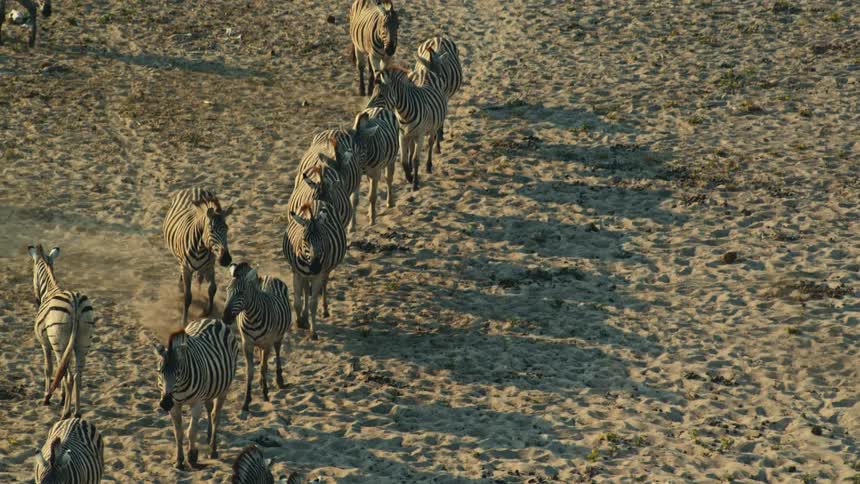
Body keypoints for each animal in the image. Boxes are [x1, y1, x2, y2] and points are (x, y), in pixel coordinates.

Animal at [28, 244, 95, 419]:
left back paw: (66, 412)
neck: (50, 289)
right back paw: (77, 412)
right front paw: (63, 397)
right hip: (82, 343)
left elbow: (49, 369)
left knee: (70, 376)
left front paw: (47, 397)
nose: (36, 300)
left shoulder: (46, 344)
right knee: (77, 376)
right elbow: (61, 368)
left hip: (58, 342)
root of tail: (75, 301)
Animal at [152, 318, 238, 469]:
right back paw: (208, 437)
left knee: (216, 416)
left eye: (178, 373)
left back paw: (213, 449)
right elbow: (178, 433)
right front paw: (179, 460)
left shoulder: (197, 403)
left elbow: (191, 432)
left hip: (223, 389)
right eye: (159, 372)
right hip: (210, 388)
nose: (165, 403)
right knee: (210, 409)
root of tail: (212, 319)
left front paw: (192, 456)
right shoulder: (175, 406)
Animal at [162, 188, 234, 325]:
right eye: (211, 230)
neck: (202, 248)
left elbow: (212, 288)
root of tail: (195, 188)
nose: (226, 259)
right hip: (183, 262)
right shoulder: (186, 268)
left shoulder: (210, 266)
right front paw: (184, 321)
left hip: (202, 267)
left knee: (200, 279)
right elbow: (187, 297)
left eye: (227, 229)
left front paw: (206, 311)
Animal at [223, 262, 292, 412]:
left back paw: (279, 380)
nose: (225, 317)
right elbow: (250, 371)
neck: (251, 318)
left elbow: (264, 368)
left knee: (277, 352)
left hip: (277, 336)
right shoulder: (246, 344)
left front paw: (265, 394)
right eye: (227, 290)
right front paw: (246, 401)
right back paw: (261, 382)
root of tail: (270, 277)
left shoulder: (267, 344)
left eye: (241, 293)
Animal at [282, 200, 346, 341]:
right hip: (305, 275)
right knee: (306, 289)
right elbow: (297, 301)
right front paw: (300, 321)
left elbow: (313, 304)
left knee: (324, 284)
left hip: (326, 270)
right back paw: (305, 317)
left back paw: (325, 310)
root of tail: (317, 200)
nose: (315, 267)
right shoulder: (297, 274)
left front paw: (313, 332)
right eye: (305, 240)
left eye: (322, 239)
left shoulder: (318, 275)